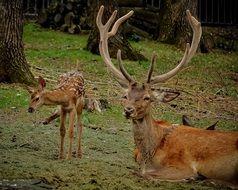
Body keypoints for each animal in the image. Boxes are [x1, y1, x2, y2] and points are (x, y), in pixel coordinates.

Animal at [96, 5, 238, 186]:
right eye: (125, 96)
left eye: (147, 98)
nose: (128, 110)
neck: (150, 155)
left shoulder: (183, 166)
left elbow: (145, 174)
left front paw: (192, 178)